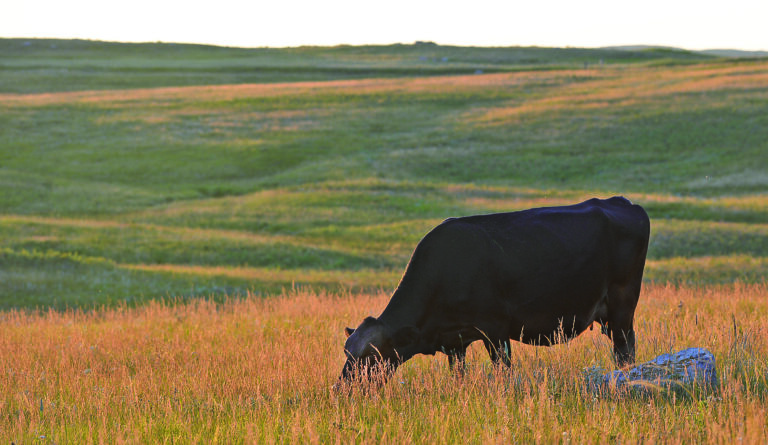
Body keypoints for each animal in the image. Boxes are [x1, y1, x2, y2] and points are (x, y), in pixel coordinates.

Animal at [337, 197, 650, 387]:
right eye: (347, 352)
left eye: (371, 356)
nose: (343, 389)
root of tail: (621, 202)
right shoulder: (454, 342)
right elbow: (459, 375)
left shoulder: (496, 330)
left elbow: (504, 371)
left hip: (623, 306)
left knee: (625, 350)